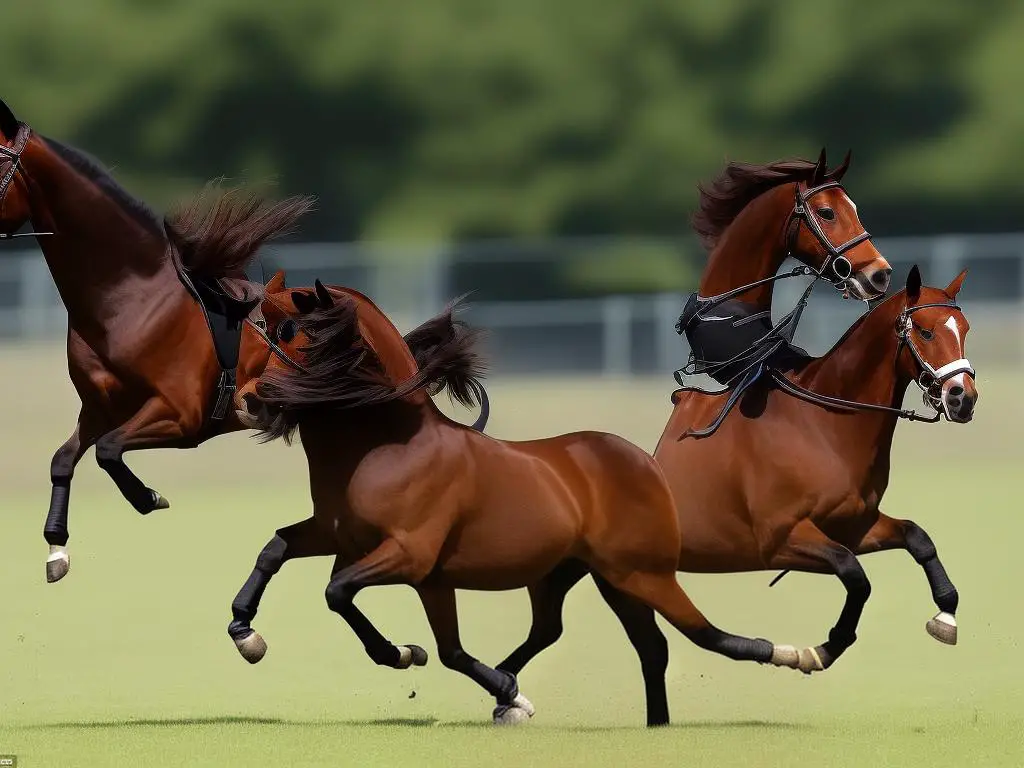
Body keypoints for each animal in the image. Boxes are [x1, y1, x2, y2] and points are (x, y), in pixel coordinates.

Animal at [0, 99, 485, 585]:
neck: (134, 297)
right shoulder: (100, 408)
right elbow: (65, 458)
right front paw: (56, 550)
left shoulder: (179, 416)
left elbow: (108, 450)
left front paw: (149, 498)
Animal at [228, 282, 811, 729]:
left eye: (299, 335)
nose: (250, 401)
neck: (389, 446)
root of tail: (643, 462)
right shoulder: (364, 548)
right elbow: (279, 550)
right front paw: (246, 633)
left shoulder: (409, 556)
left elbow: (339, 592)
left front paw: (404, 656)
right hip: (581, 576)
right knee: (619, 641)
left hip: (642, 573)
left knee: (701, 635)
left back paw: (797, 654)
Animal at [493, 268, 974, 724]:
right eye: (925, 331)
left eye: (964, 328)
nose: (962, 398)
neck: (821, 425)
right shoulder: (781, 540)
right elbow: (853, 574)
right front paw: (826, 647)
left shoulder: (855, 525)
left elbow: (917, 538)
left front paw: (945, 616)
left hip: (595, 573)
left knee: (576, 636)